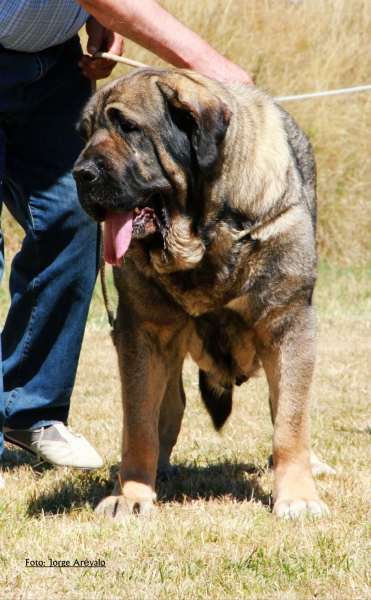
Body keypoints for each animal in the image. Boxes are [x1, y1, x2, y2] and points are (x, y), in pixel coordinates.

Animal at [73, 67, 332, 520]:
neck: (206, 236)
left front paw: (299, 495)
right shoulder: (142, 331)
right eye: (85, 133)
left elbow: (290, 421)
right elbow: (138, 422)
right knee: (167, 409)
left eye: (129, 127)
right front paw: (131, 493)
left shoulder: (288, 323)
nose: (79, 173)